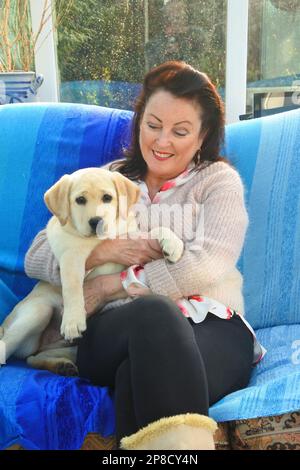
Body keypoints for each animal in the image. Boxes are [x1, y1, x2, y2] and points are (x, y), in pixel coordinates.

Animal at [0, 168, 184, 374]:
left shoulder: (131, 243)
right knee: (9, 347)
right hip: (38, 311)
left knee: (34, 358)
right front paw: (72, 321)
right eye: (80, 200)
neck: (99, 240)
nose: (96, 221)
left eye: (107, 198)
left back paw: (62, 366)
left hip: (69, 348)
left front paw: (173, 243)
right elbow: (72, 287)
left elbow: (152, 232)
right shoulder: (71, 257)